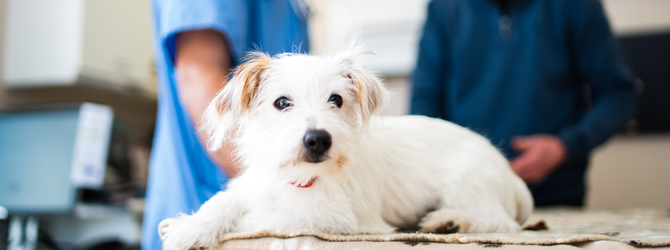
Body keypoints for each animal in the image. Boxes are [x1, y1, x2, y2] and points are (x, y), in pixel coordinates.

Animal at [159, 47, 536, 249]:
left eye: (336, 100)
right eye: (281, 102)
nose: (318, 138)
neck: (302, 178)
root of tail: (509, 174)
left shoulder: (334, 220)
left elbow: (264, 217)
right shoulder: (255, 184)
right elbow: (226, 200)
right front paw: (188, 229)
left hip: (465, 182)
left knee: (499, 221)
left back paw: (449, 221)